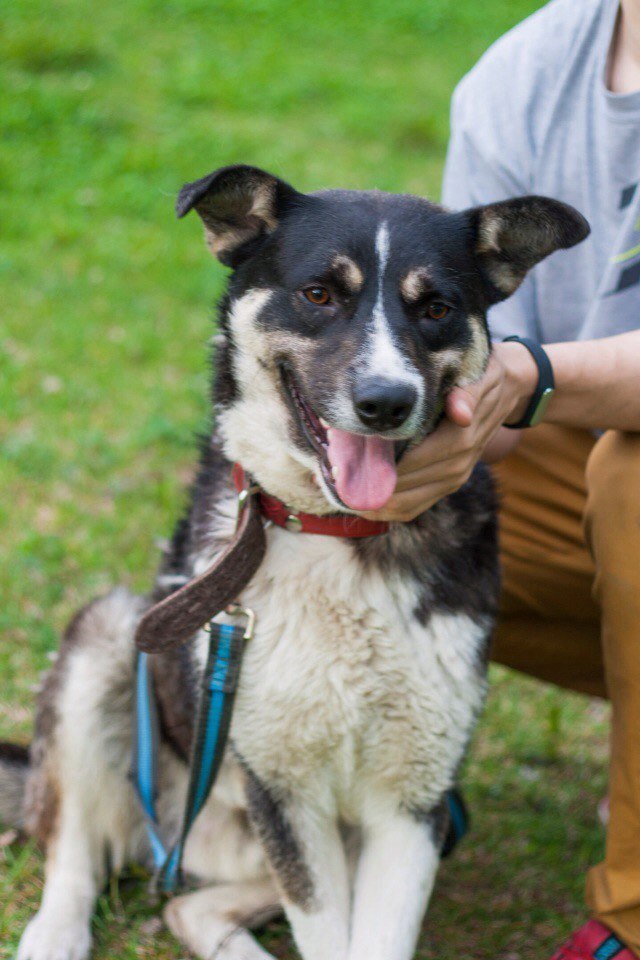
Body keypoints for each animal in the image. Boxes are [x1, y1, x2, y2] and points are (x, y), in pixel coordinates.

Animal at [2, 163, 588, 960]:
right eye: (318, 295)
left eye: (436, 307)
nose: (385, 401)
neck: (338, 530)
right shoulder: (283, 791)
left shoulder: (414, 799)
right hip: (110, 642)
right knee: (76, 847)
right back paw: (53, 932)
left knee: (191, 908)